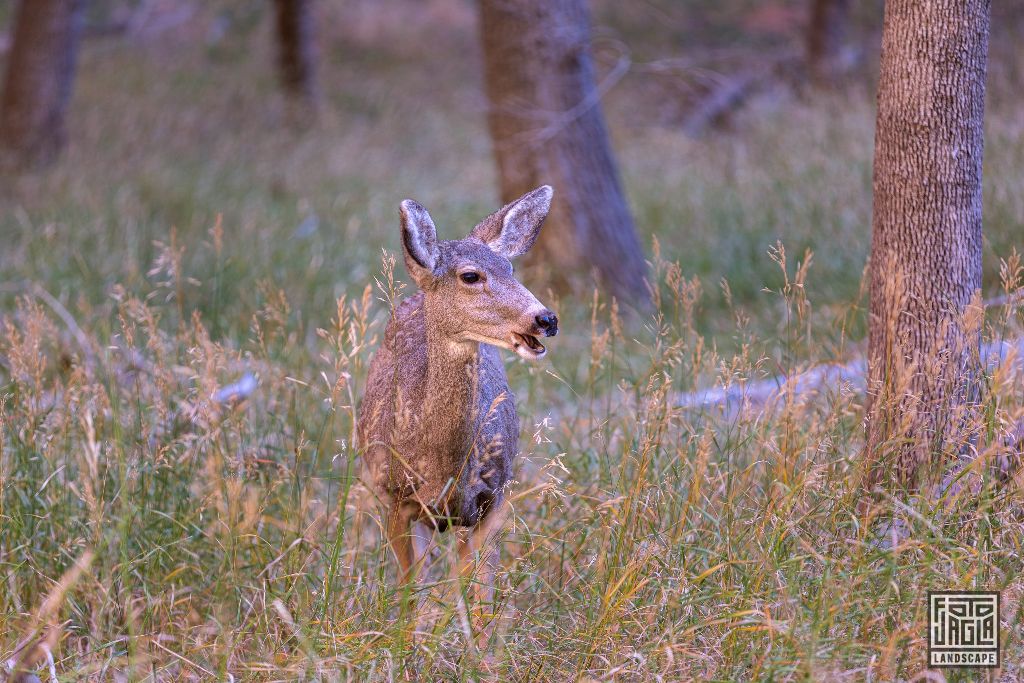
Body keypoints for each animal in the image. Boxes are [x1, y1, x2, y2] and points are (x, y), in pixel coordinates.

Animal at [360, 183, 561, 643]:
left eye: (510, 267)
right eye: (471, 276)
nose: (545, 318)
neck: (442, 466)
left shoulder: (494, 495)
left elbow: (481, 593)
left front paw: (481, 649)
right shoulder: (394, 495)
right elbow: (410, 591)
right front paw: (407, 646)